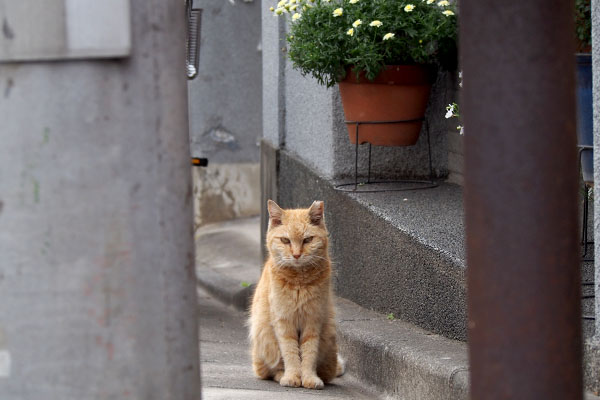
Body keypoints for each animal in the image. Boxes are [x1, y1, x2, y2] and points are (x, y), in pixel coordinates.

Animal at [248, 200, 344, 388]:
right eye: (285, 240)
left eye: (308, 240)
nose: (297, 255)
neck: (299, 280)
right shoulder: (284, 322)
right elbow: (290, 352)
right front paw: (292, 376)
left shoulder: (313, 321)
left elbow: (308, 353)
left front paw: (309, 378)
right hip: (264, 338)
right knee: (269, 371)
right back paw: (281, 375)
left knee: (326, 373)